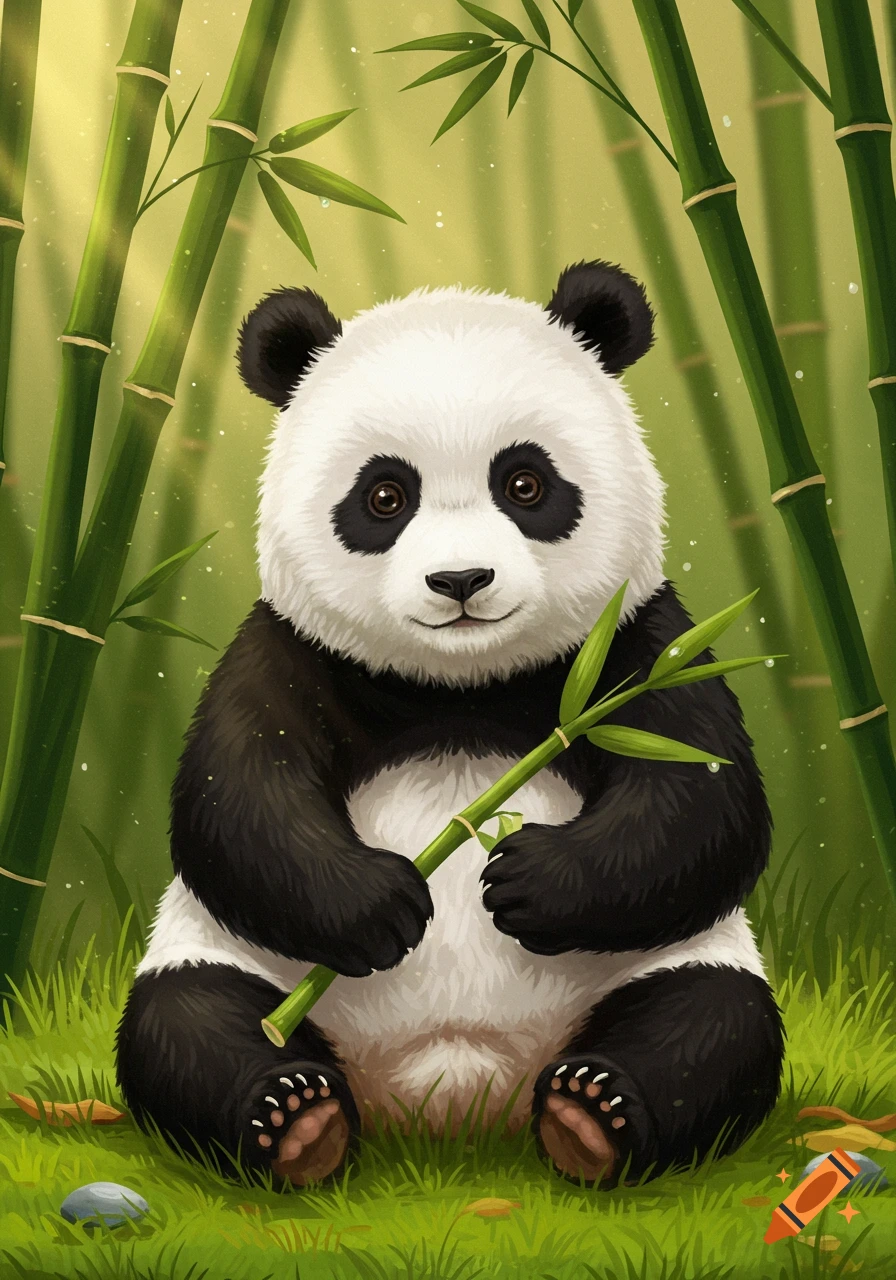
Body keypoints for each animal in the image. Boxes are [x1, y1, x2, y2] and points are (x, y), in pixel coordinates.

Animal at [116, 261, 784, 1190]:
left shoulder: (639, 646)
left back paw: (590, 1113)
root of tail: (454, 1100)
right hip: (230, 960)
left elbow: (700, 802)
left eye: (526, 483)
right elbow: (238, 799)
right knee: (188, 1021)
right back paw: (295, 1117)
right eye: (385, 495)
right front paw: (383, 903)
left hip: (661, 968)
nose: (461, 580)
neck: (460, 690)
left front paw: (527, 881)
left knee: (711, 1021)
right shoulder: (288, 650)